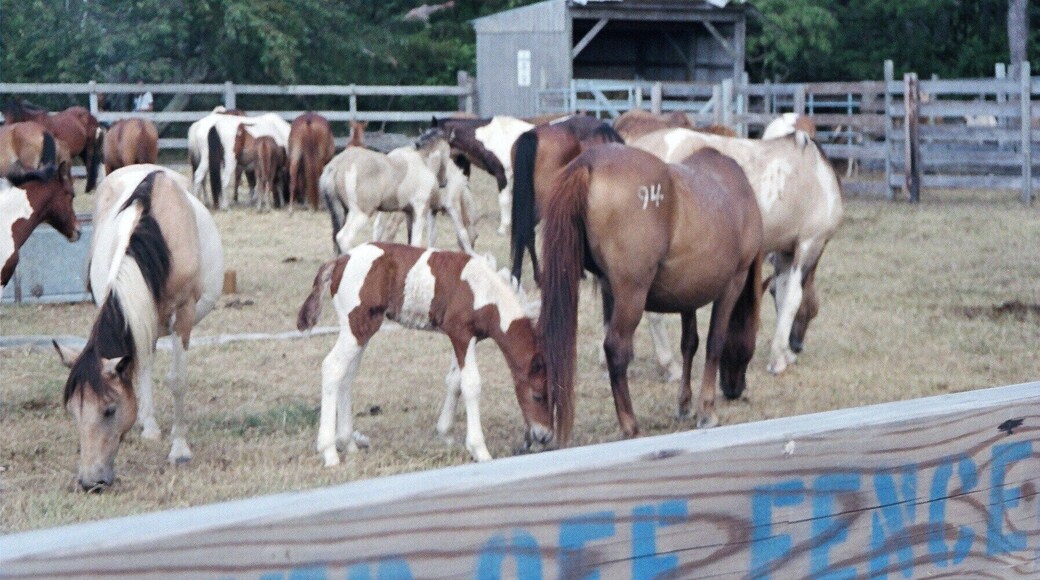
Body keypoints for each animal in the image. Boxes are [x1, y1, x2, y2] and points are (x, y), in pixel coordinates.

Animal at [52, 165, 223, 491]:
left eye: (109, 409)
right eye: (73, 411)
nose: (90, 482)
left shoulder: (183, 315)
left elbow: (177, 380)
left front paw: (179, 450)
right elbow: (140, 368)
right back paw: (149, 425)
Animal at [296, 242, 552, 466]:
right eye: (537, 395)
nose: (544, 436)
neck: (484, 292)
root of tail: (341, 260)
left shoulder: (466, 339)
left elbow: (454, 381)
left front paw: (446, 435)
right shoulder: (461, 334)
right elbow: (471, 384)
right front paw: (480, 450)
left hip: (363, 330)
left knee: (346, 376)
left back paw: (348, 444)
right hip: (355, 327)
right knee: (332, 368)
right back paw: (329, 453)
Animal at [320, 128, 451, 254]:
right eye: (448, 153)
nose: (444, 182)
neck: (422, 162)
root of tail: (336, 165)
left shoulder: (409, 212)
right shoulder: (420, 209)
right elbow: (416, 241)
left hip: (341, 211)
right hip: (361, 213)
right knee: (344, 237)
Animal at [538, 144, 763, 445]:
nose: (735, 389)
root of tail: (589, 161)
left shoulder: (688, 293)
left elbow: (689, 343)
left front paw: (684, 404)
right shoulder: (733, 283)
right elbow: (715, 342)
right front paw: (707, 410)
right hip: (631, 296)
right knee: (616, 349)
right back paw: (630, 426)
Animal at [631, 127, 843, 376]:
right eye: (812, 312)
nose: (798, 346)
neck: (817, 174)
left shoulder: (785, 252)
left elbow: (782, 296)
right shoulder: (809, 244)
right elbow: (792, 298)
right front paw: (779, 359)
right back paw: (671, 365)